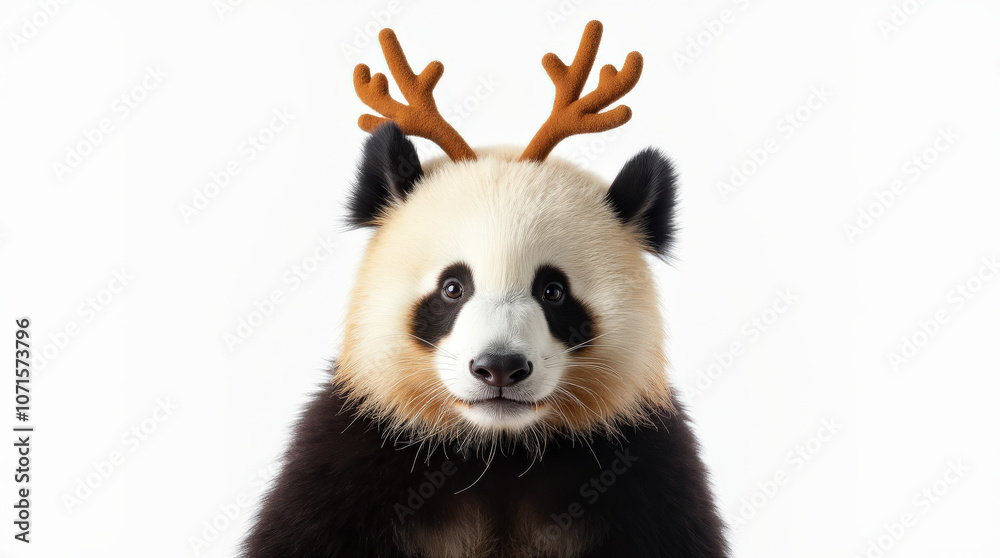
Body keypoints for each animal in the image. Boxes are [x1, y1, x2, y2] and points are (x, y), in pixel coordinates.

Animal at [243, 21, 728, 558]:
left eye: (554, 292)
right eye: (453, 287)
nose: (499, 368)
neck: (499, 452)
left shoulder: (643, 466)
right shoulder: (354, 452)